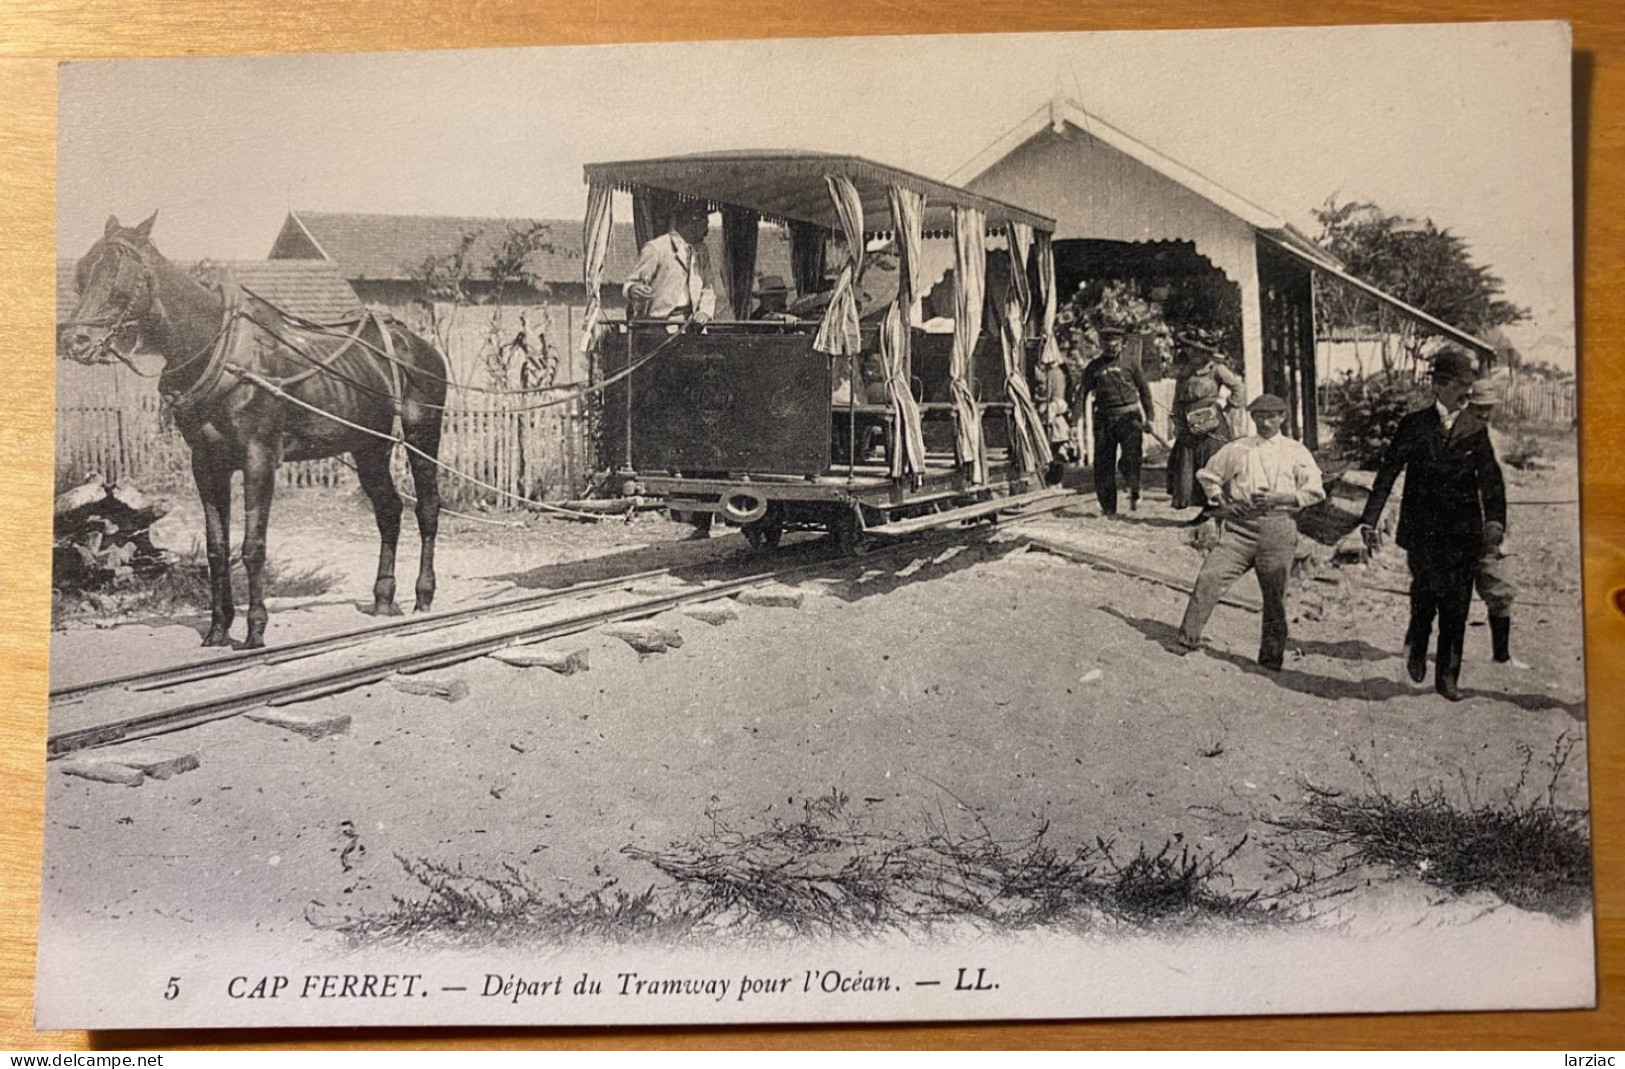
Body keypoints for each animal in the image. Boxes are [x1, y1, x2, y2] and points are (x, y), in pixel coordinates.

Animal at [59, 216, 448, 646]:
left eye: (120, 279)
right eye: (82, 274)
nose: (74, 341)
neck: (217, 352)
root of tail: (416, 343)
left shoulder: (259, 458)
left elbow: (253, 546)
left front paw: (255, 631)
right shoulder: (206, 463)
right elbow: (217, 547)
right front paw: (217, 629)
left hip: (423, 433)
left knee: (427, 509)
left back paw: (423, 595)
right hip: (369, 446)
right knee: (389, 511)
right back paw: (383, 598)